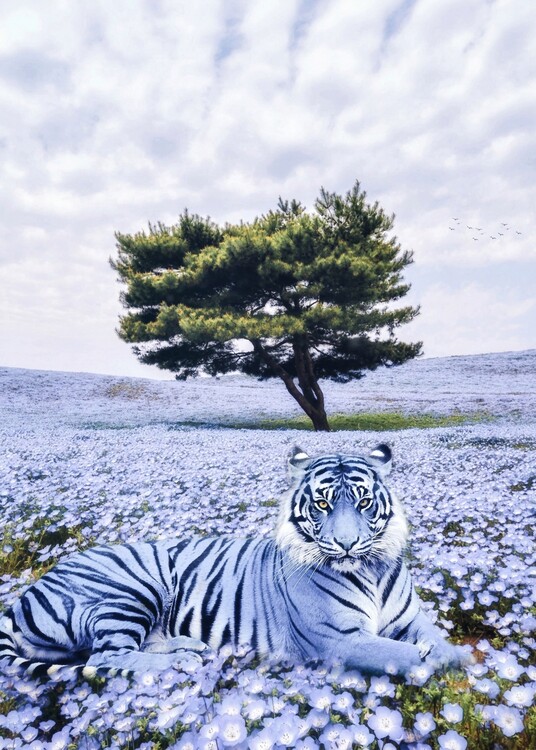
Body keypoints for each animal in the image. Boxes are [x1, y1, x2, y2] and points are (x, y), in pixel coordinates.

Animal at [0, 444, 471, 679]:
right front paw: (437, 667)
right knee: (103, 659)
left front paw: (461, 658)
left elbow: (441, 643)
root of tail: (32, 587)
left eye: (364, 502)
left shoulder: (411, 618)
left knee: (130, 646)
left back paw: (190, 647)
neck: (369, 570)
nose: (347, 545)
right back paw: (181, 663)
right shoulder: (338, 638)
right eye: (321, 503)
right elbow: (409, 656)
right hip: (132, 588)